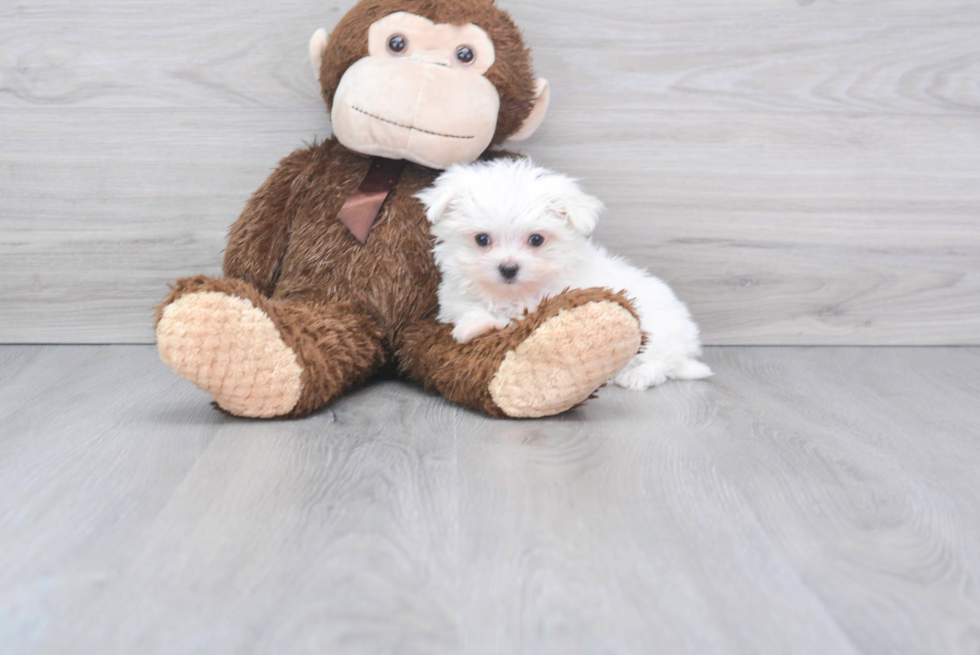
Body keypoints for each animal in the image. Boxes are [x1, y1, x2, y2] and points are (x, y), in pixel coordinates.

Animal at [416, 158, 712, 390]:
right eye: (481, 239)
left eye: (536, 240)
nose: (508, 268)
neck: (513, 294)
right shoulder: (455, 296)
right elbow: (468, 309)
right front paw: (475, 325)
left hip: (659, 331)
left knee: (660, 362)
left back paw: (635, 375)